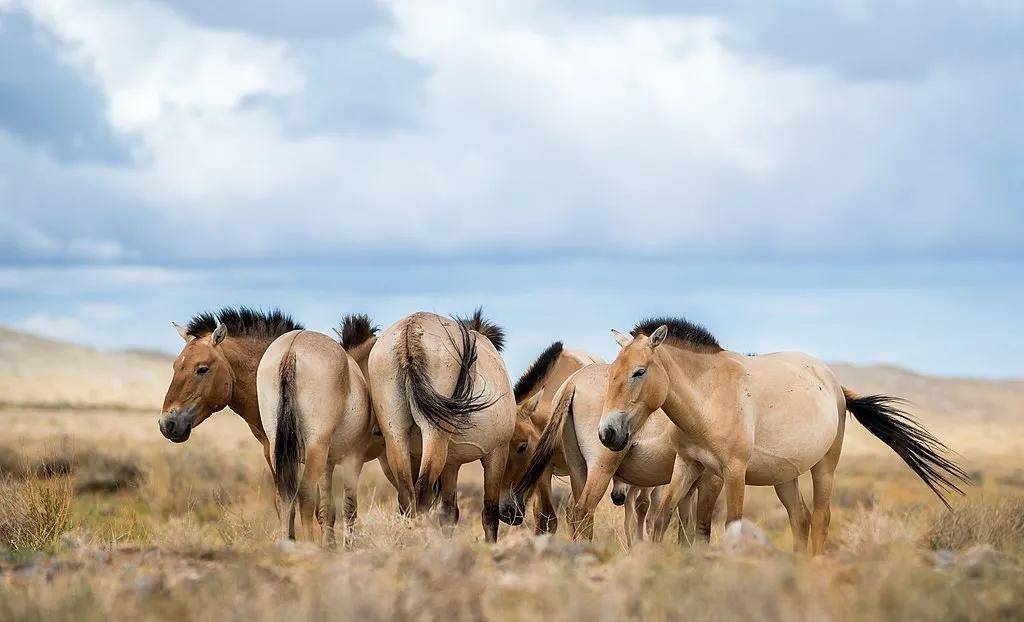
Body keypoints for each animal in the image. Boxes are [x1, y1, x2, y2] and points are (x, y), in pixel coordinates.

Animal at [366, 309, 516, 541]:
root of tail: (410, 329)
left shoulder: (451, 464)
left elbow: (449, 513)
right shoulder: (497, 452)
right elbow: (489, 513)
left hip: (395, 435)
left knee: (406, 494)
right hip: (434, 435)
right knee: (422, 493)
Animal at [509, 362, 720, 541]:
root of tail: (573, 382)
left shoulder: (689, 486)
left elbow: (685, 531)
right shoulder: (710, 481)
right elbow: (702, 528)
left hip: (578, 469)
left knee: (573, 513)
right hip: (601, 468)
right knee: (583, 510)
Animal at [598, 319, 966, 553]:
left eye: (639, 372)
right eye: (613, 371)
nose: (608, 433)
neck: (710, 396)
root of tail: (835, 384)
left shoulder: (732, 472)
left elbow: (730, 524)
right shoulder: (688, 465)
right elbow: (662, 519)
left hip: (825, 467)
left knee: (820, 519)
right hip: (785, 476)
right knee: (800, 518)